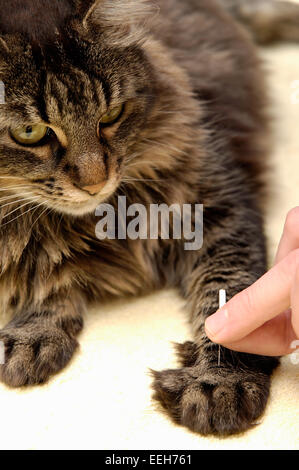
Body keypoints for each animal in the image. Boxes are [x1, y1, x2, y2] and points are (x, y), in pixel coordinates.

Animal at [0, 0, 298, 436]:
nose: (95, 182)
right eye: (29, 133)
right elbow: (39, 275)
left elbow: (226, 293)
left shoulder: (215, 208)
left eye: (111, 115)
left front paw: (217, 384)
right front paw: (31, 336)